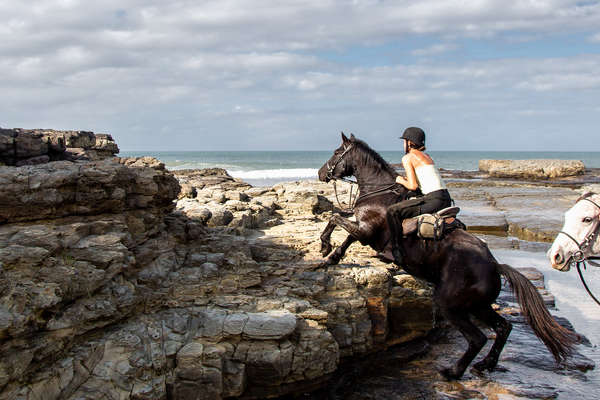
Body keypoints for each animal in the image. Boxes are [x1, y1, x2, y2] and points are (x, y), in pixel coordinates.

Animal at [316, 133, 580, 380]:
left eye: (337, 152)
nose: (320, 173)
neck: (378, 192)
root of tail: (495, 266)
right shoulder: (363, 229)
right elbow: (342, 229)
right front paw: (330, 256)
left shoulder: (366, 229)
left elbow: (337, 219)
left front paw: (325, 246)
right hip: (478, 305)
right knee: (504, 328)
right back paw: (485, 365)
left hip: (451, 304)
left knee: (478, 338)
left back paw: (454, 371)